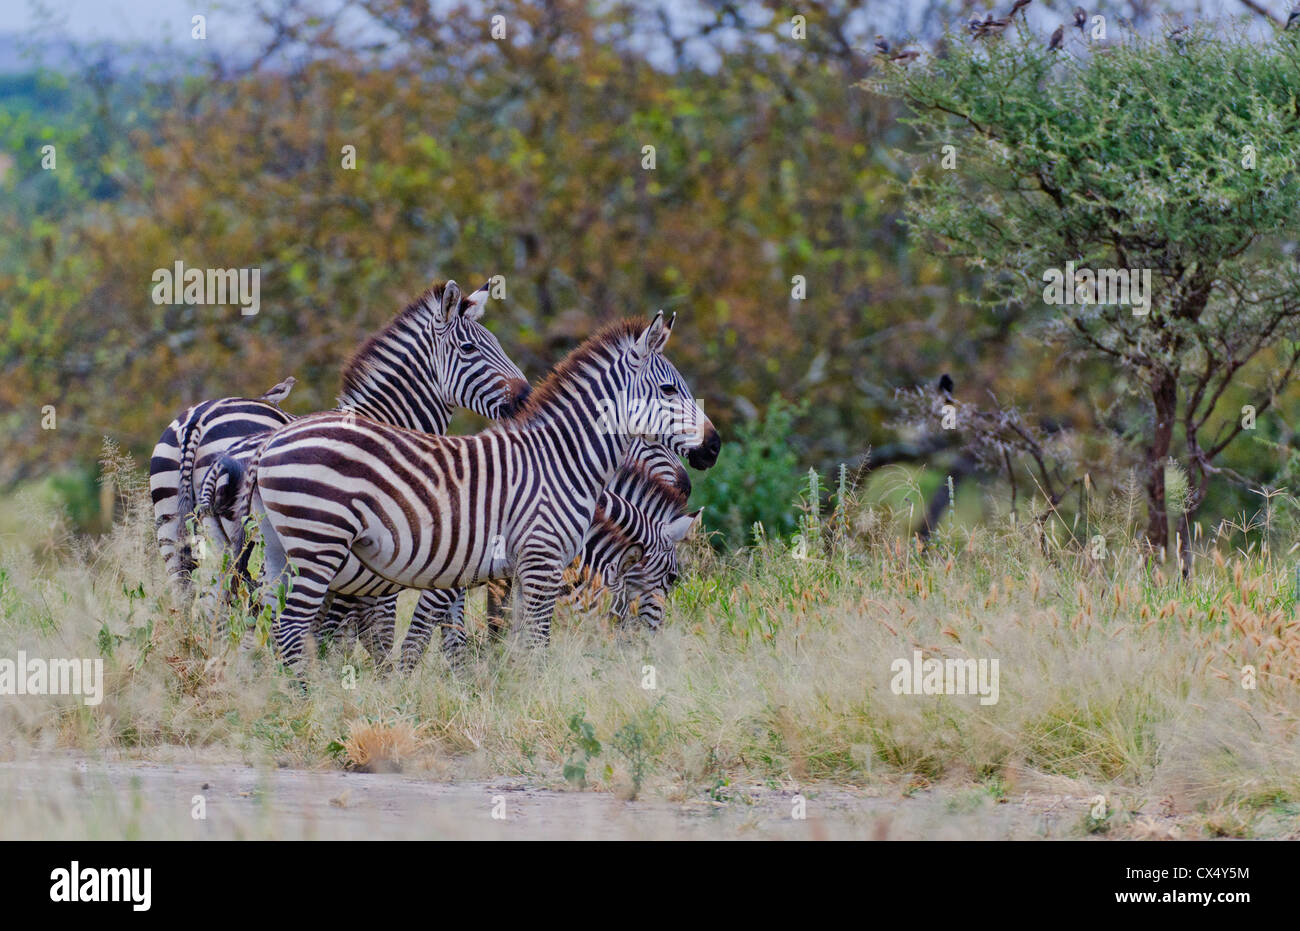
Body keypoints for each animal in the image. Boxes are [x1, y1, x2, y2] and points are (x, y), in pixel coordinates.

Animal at [154, 279, 530, 665]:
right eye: (469, 348)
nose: (528, 397)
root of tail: (198, 420)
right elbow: (374, 631)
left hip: (180, 532)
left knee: (200, 606)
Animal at [230, 313, 728, 670]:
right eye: (668, 389)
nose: (714, 447)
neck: (562, 460)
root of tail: (273, 439)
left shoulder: (516, 571)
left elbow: (511, 640)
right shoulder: (540, 562)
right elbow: (531, 644)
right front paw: (534, 704)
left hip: (279, 547)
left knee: (274, 621)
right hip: (320, 546)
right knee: (292, 626)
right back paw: (303, 702)